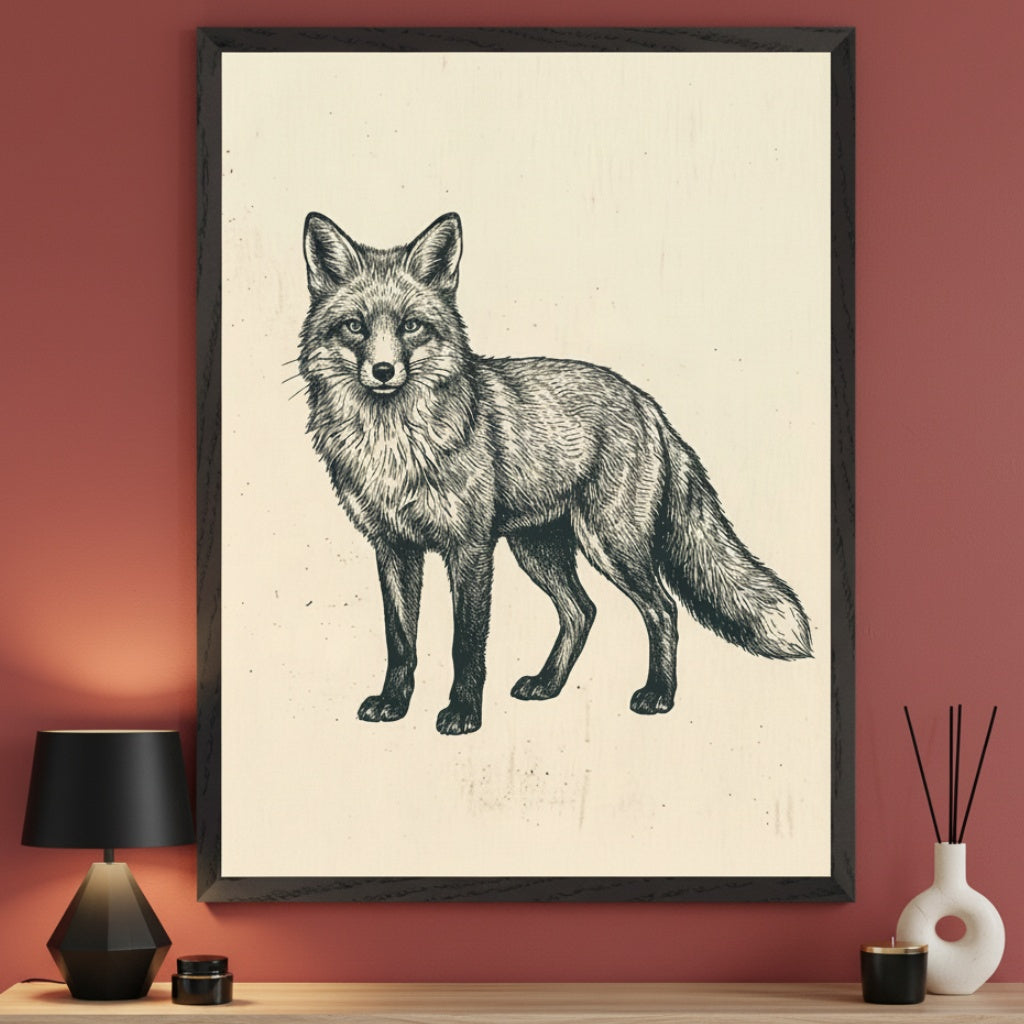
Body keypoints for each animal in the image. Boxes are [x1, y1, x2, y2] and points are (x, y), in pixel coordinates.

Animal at [298, 212, 812, 736]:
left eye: (411, 326)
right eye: (355, 326)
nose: (383, 370)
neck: (394, 446)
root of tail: (647, 403)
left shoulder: (470, 548)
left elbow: (466, 644)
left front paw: (464, 712)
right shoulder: (393, 547)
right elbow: (400, 641)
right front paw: (393, 703)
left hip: (611, 545)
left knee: (662, 608)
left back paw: (659, 694)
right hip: (539, 549)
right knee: (582, 612)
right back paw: (548, 684)